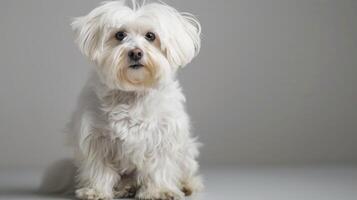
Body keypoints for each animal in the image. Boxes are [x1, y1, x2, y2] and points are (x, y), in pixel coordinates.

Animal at [69, 0, 203, 199]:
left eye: (150, 36)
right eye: (120, 35)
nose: (135, 53)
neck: (133, 92)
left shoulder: (163, 136)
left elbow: (159, 167)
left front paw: (160, 190)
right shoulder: (97, 138)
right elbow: (99, 168)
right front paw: (97, 190)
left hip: (187, 152)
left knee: (188, 171)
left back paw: (186, 185)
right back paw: (126, 187)